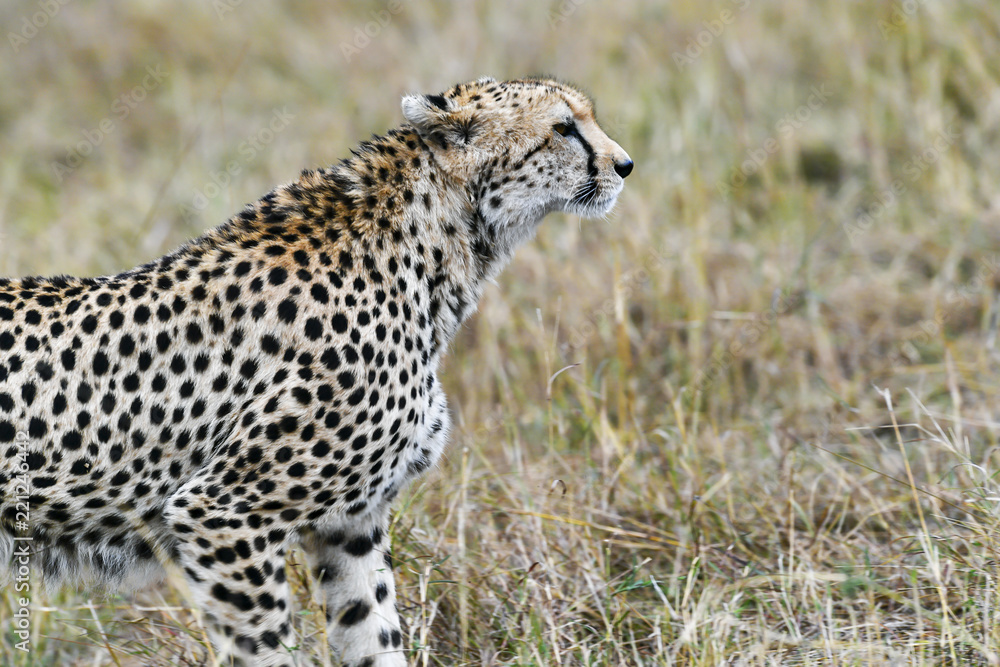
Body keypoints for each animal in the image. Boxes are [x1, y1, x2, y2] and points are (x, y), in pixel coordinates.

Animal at [0, 76, 632, 666]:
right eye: (563, 128)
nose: (625, 164)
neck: (434, 248)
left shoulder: (350, 526)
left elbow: (374, 634)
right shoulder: (221, 515)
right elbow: (267, 648)